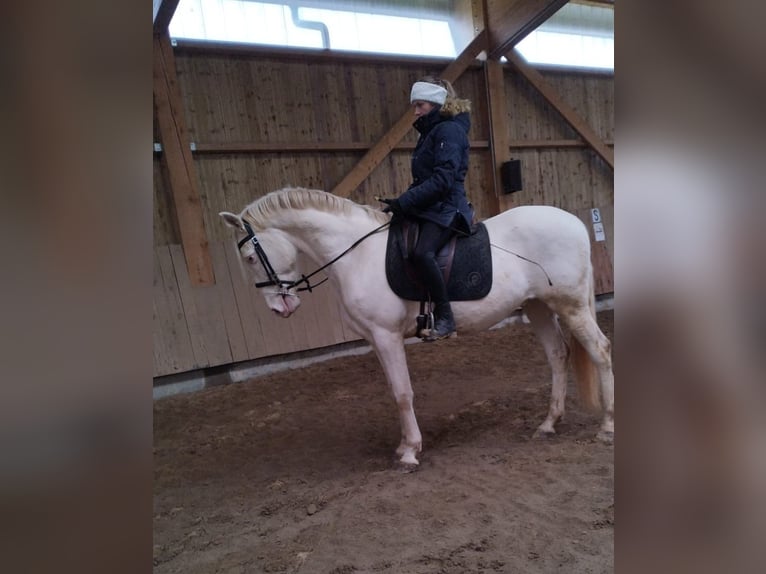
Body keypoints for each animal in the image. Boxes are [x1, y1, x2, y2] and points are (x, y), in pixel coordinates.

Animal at [220, 187, 614, 466]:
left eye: (251, 257)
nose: (280, 307)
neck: (356, 254)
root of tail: (575, 223)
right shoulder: (376, 339)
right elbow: (395, 392)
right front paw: (403, 446)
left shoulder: (387, 335)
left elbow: (402, 392)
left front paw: (410, 451)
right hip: (538, 307)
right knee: (558, 356)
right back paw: (548, 424)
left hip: (570, 305)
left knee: (601, 351)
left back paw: (607, 428)